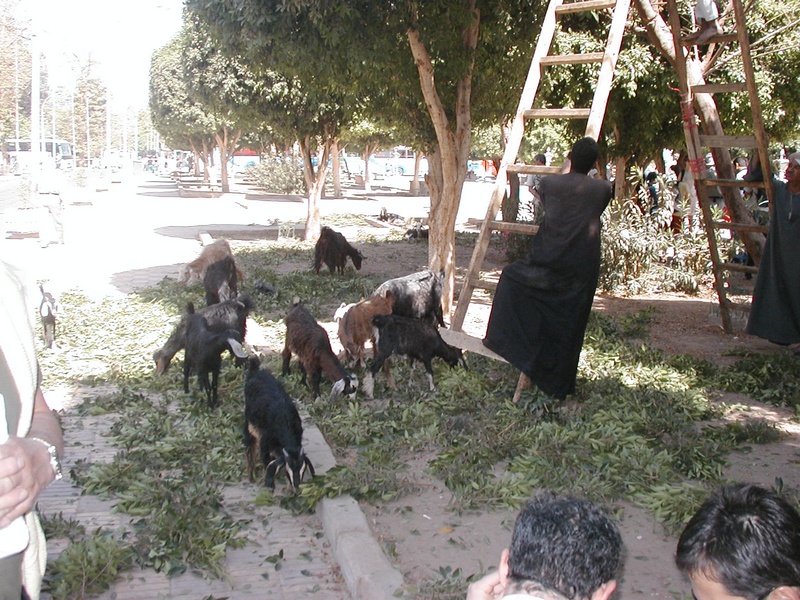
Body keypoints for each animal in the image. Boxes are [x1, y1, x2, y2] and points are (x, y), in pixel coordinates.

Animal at [242, 356, 314, 492]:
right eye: (288, 471)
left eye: (303, 470)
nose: (296, 486)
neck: (285, 423)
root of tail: (255, 372)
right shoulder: (265, 441)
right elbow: (266, 460)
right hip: (248, 421)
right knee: (249, 443)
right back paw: (251, 473)